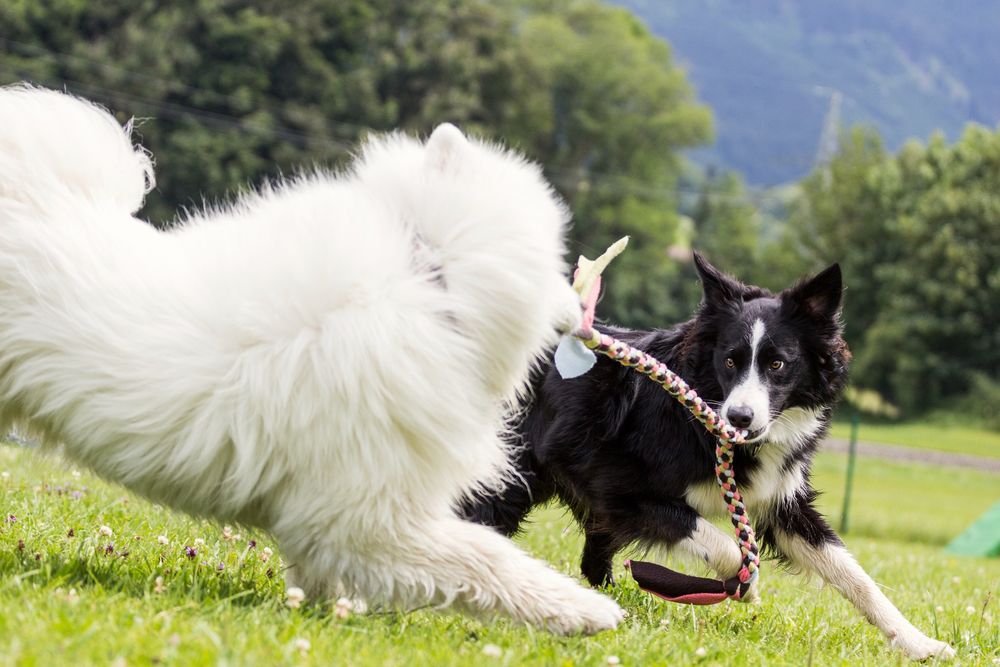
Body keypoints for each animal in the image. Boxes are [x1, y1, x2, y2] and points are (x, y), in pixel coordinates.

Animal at [0, 86, 620, 636]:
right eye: (556, 268)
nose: (584, 314)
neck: (427, 278)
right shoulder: (369, 517)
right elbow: (487, 559)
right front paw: (586, 612)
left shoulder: (333, 520)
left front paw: (327, 613)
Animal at [464, 256, 956, 664]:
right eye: (731, 361)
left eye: (778, 364)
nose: (739, 417)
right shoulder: (619, 487)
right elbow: (719, 541)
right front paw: (747, 585)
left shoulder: (784, 503)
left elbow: (853, 573)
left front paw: (919, 643)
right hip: (514, 471)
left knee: (590, 560)